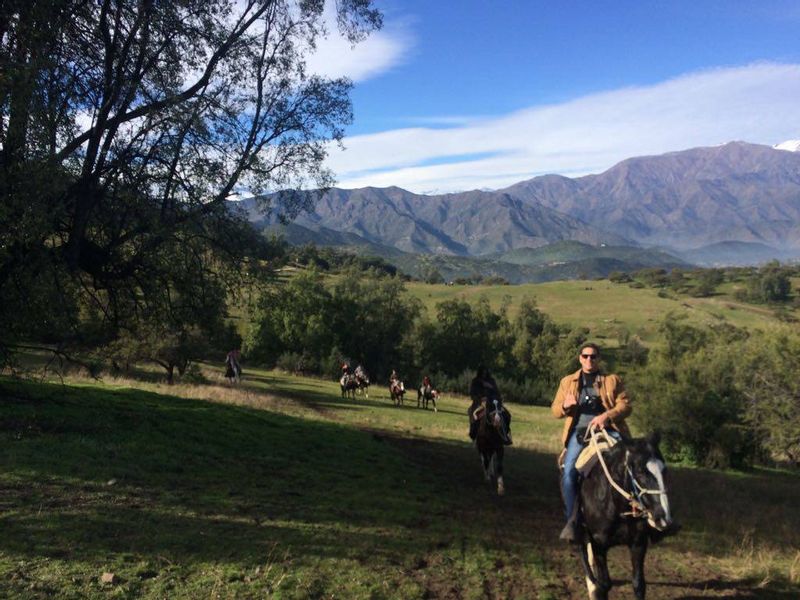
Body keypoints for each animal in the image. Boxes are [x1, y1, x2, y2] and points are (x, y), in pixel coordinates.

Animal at [572, 428, 680, 596]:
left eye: (664, 470)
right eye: (640, 472)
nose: (663, 518)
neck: (616, 507)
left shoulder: (638, 544)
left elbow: (638, 584)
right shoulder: (599, 546)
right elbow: (604, 584)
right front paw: (594, 588)